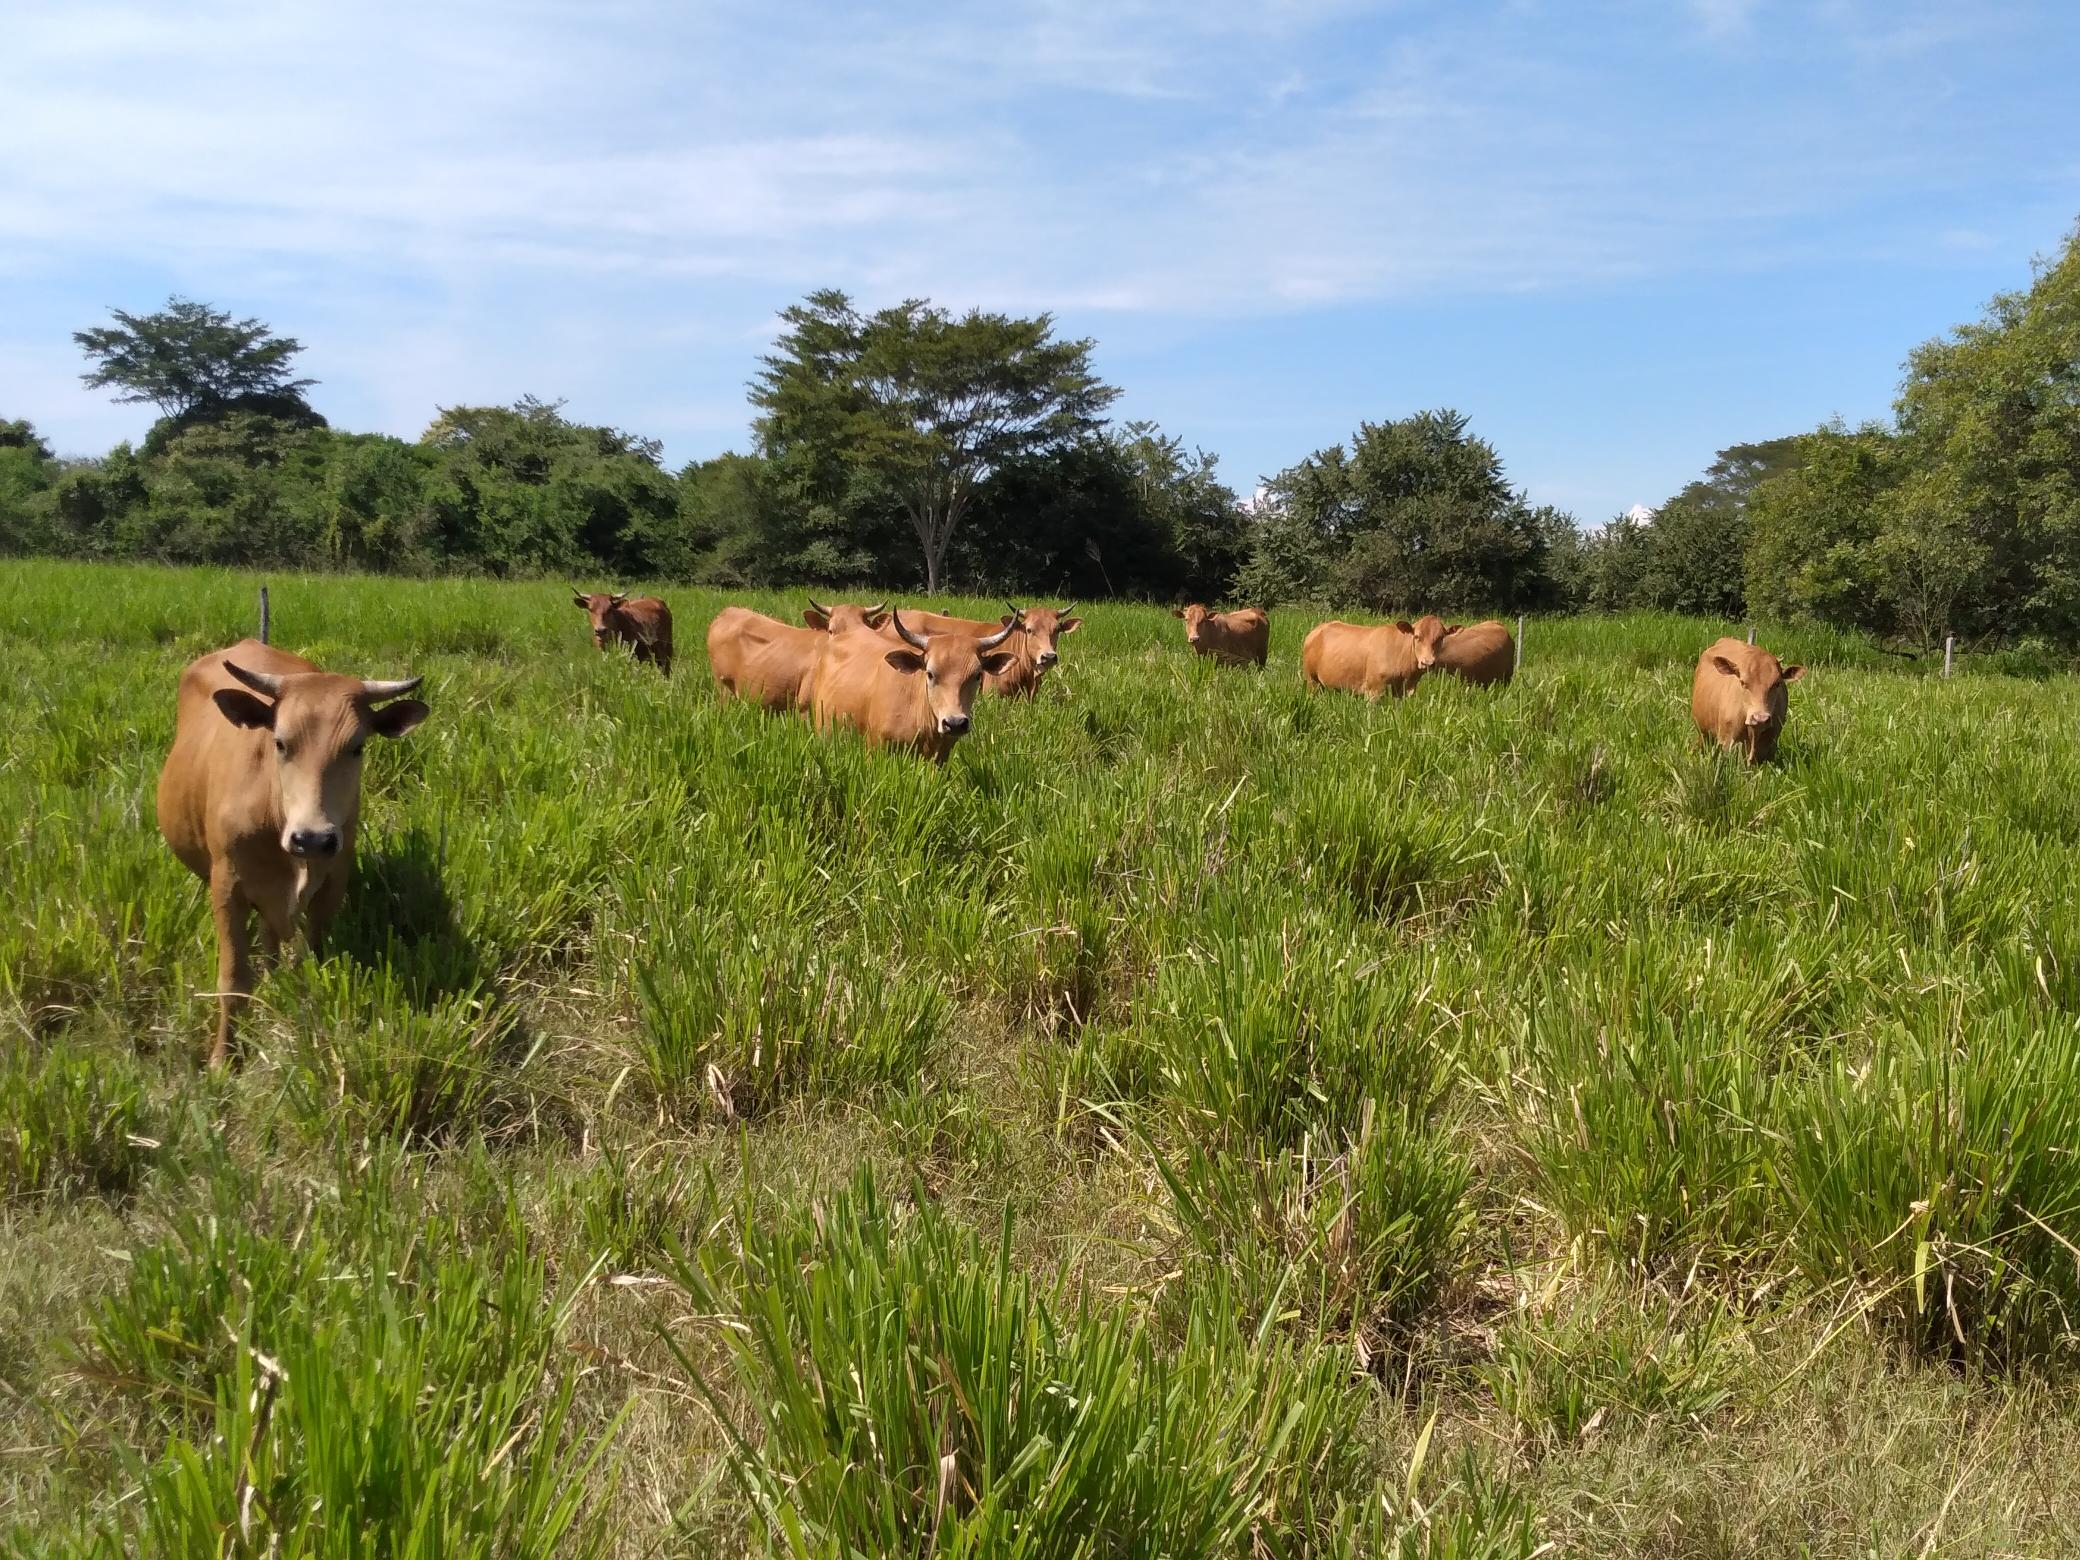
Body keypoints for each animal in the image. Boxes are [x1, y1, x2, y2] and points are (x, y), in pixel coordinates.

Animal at [1688, 636, 1805, 765]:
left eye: (1777, 683)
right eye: (1743, 682)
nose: (1760, 718)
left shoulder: (1770, 748)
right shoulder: (1727, 743)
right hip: (1703, 733)